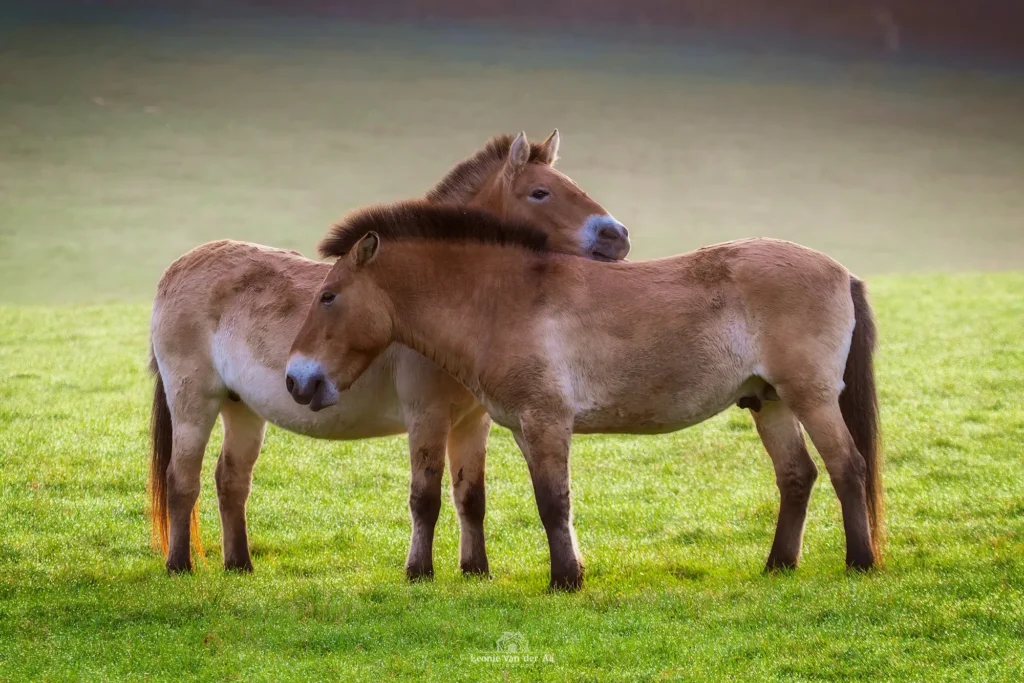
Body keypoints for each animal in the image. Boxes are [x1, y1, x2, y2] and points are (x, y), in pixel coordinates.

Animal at [149, 131, 630, 576]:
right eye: (540, 192)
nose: (618, 236)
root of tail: (176, 269)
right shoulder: (426, 417)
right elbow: (426, 498)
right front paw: (419, 572)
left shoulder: (473, 423)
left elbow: (470, 497)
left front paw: (476, 570)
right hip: (193, 404)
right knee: (182, 481)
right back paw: (179, 565)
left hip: (242, 409)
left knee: (231, 481)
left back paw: (240, 565)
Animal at [286, 202, 884, 591]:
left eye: (328, 296)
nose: (298, 380)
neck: (504, 300)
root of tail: (842, 272)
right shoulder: (525, 429)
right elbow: (545, 501)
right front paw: (570, 570)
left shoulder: (547, 419)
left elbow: (553, 501)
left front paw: (564, 581)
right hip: (770, 402)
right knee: (798, 476)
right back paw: (778, 565)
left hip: (810, 398)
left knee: (847, 467)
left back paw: (860, 562)